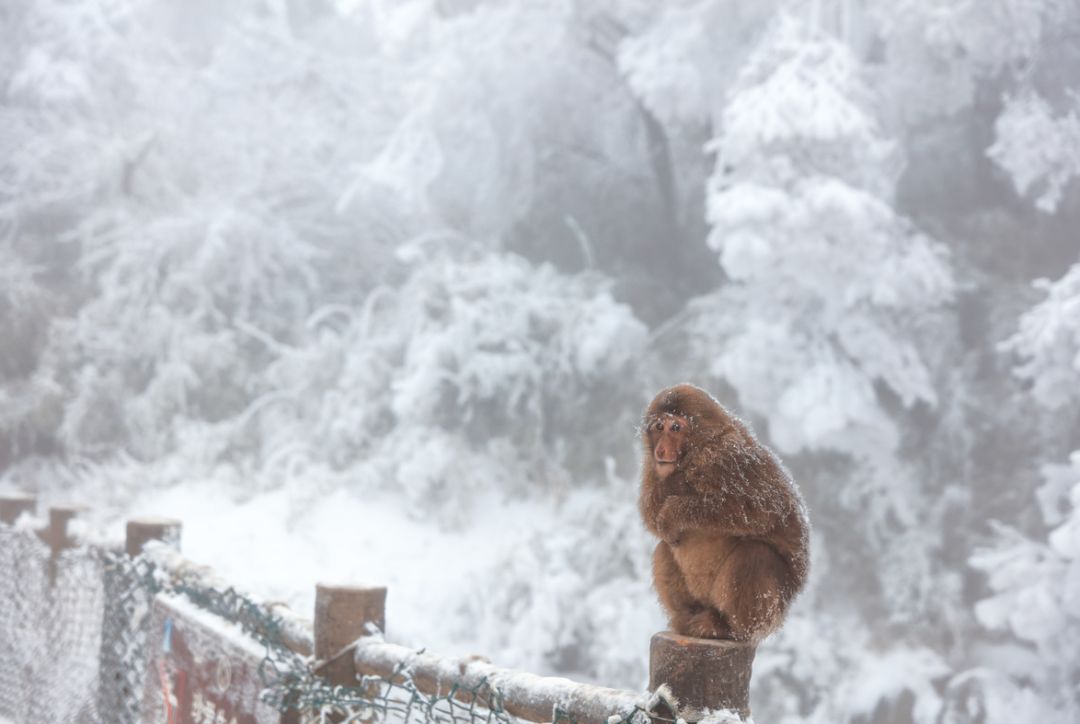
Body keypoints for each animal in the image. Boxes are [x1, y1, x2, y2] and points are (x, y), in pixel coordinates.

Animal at [635, 382, 807, 644]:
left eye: (676, 427)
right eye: (659, 427)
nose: (662, 450)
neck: (697, 450)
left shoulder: (725, 458)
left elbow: (760, 509)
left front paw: (675, 505)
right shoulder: (652, 468)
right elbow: (650, 512)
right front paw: (672, 486)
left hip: (771, 611)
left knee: (755, 554)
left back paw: (727, 627)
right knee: (664, 548)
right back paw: (686, 618)